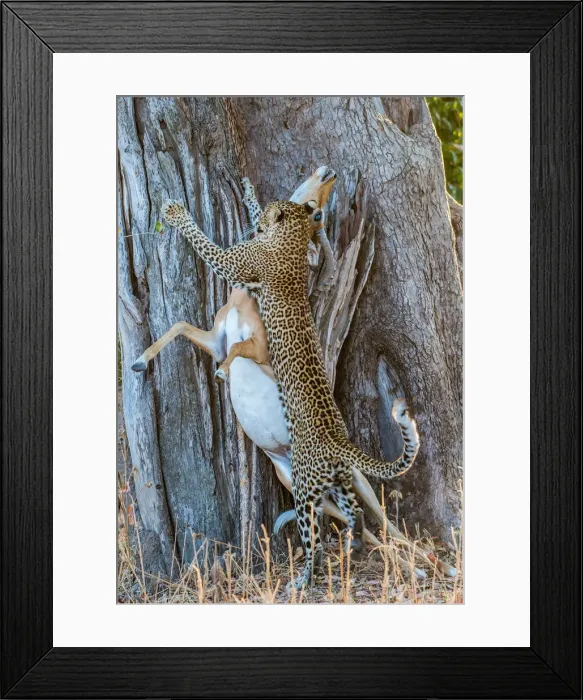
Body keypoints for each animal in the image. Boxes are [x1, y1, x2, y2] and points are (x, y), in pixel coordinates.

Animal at [162, 197, 420, 588]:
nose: (263, 221)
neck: (292, 240)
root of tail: (337, 443)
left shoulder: (233, 264)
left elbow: (204, 242)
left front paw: (177, 214)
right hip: (333, 486)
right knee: (358, 519)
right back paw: (362, 548)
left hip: (306, 489)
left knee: (319, 537)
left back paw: (305, 579)